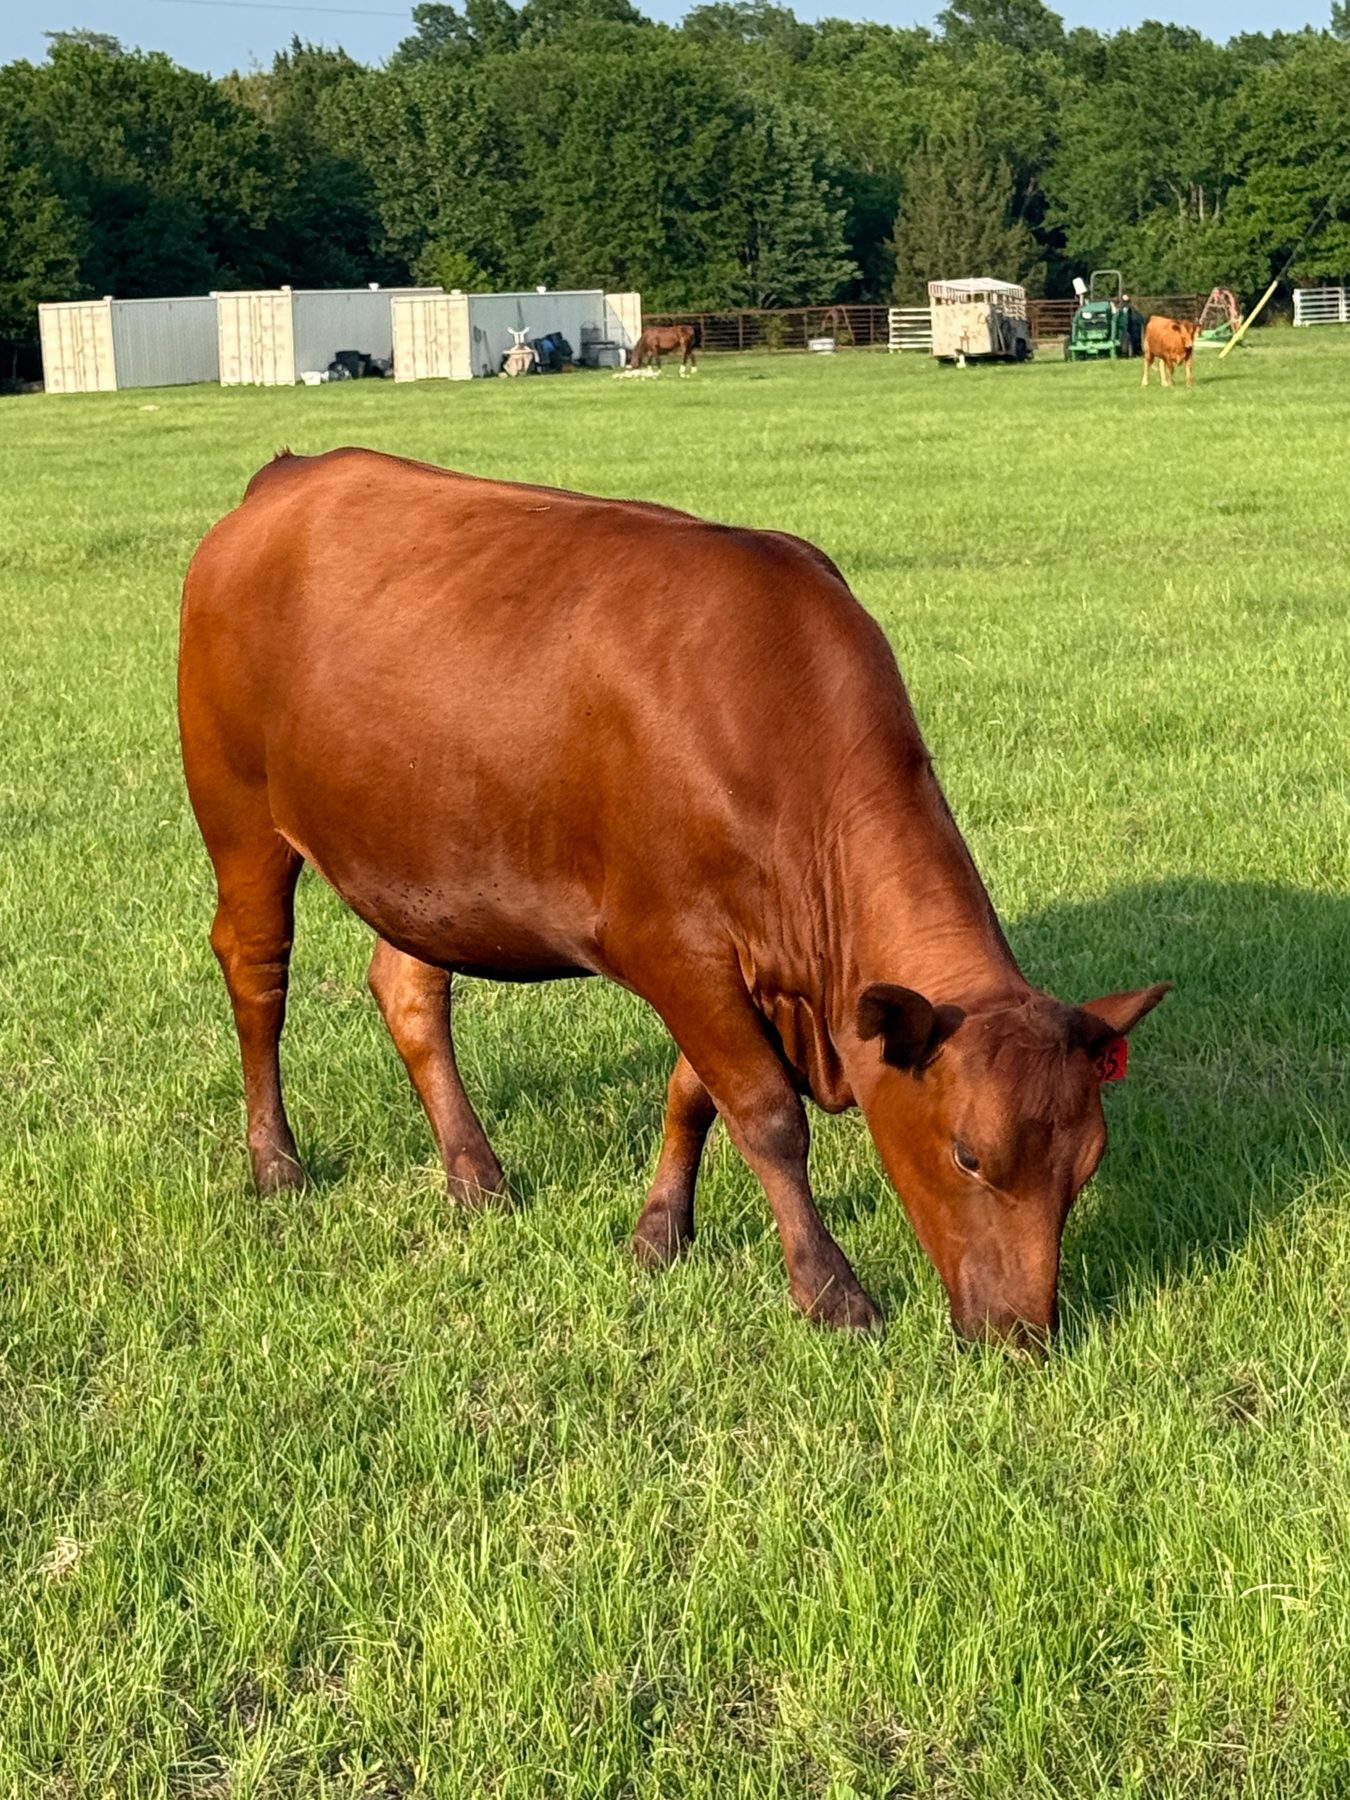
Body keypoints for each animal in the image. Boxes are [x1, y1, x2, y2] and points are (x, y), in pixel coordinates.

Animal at [178, 449, 1169, 1345]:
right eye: (969, 1155)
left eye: (1087, 1164)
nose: (1024, 1335)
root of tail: (291, 476)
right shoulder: (672, 947)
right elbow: (766, 1115)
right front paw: (831, 1292)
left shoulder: (732, 962)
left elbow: (695, 1093)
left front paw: (660, 1234)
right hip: (240, 816)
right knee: (257, 973)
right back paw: (276, 1165)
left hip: (420, 855)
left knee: (411, 993)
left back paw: (476, 1175)